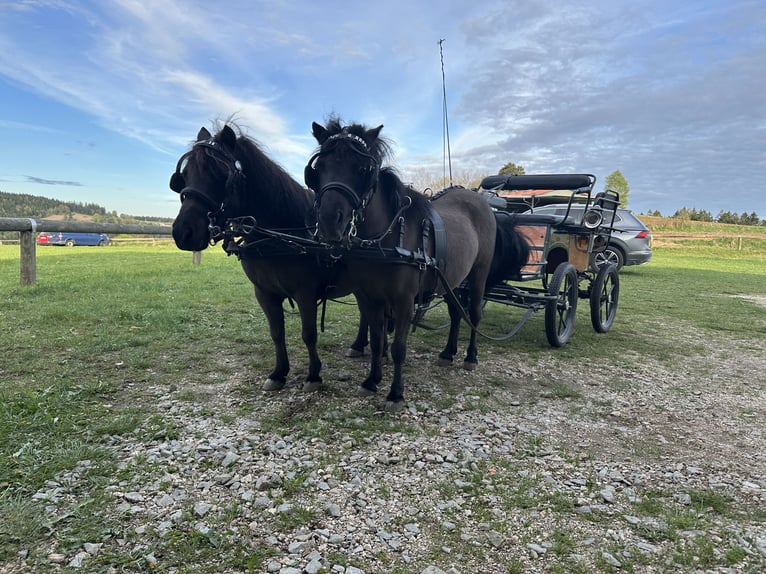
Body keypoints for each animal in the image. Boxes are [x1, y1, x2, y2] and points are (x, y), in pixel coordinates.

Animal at [171, 124, 372, 392]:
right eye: (185, 174)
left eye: (219, 173)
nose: (184, 233)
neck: (279, 236)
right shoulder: (264, 292)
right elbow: (276, 332)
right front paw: (278, 373)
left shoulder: (305, 293)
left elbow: (309, 334)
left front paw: (313, 376)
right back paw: (358, 345)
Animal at [305, 118, 529, 409]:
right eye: (318, 168)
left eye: (363, 169)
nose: (330, 221)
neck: (385, 239)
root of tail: (484, 203)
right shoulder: (368, 298)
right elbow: (376, 341)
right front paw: (371, 381)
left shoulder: (403, 301)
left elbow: (399, 348)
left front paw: (395, 393)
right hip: (452, 281)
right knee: (456, 313)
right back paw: (447, 353)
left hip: (478, 275)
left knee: (473, 314)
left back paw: (470, 357)